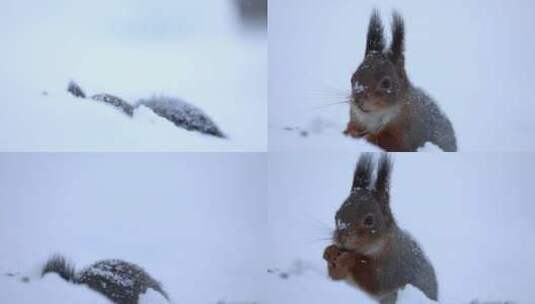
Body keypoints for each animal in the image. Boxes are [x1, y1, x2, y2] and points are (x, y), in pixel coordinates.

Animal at [324, 154, 438, 304]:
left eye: (369, 220)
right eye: (336, 215)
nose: (341, 237)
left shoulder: (391, 269)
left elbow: (373, 282)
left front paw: (349, 259)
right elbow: (336, 276)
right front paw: (329, 251)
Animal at [344, 11, 456, 152]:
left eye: (386, 83)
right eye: (352, 78)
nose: (358, 99)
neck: (374, 118)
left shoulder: (404, 135)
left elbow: (385, 141)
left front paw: (365, 138)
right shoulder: (356, 120)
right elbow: (352, 127)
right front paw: (350, 132)